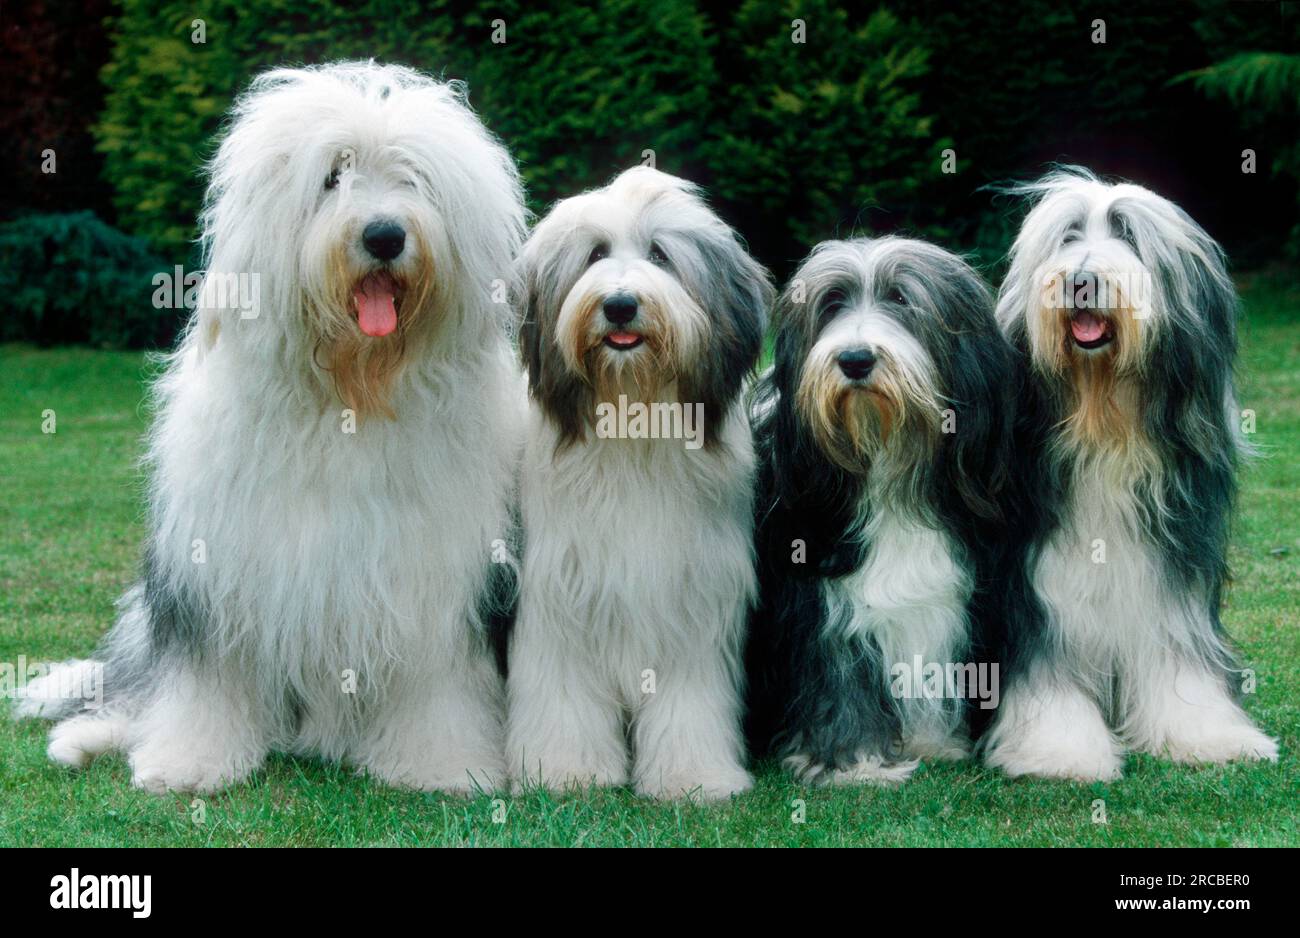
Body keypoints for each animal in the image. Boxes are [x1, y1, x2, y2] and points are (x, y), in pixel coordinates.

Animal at [16, 60, 527, 789]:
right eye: (333, 176)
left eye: (412, 178)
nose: (384, 235)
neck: (351, 393)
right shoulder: (218, 567)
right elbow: (205, 680)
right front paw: (187, 762)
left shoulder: (438, 579)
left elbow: (439, 682)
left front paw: (441, 764)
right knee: (133, 687)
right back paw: (83, 739)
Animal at [506, 166, 769, 795]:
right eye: (596, 254)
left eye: (659, 255)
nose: (621, 305)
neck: (632, 414)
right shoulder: (561, 591)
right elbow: (563, 693)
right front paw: (566, 770)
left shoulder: (693, 597)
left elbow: (689, 700)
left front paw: (693, 777)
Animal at [743, 235, 1013, 779]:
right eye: (831, 305)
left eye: (902, 299)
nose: (855, 358)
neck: (886, 462)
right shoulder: (819, 598)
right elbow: (839, 677)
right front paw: (858, 763)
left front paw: (934, 742)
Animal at [982, 166, 1279, 774]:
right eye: (1069, 236)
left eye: (1129, 236)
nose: (1081, 280)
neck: (1107, 428)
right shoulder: (1035, 584)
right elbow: (1047, 666)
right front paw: (1060, 748)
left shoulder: (1173, 576)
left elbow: (1179, 657)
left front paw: (1207, 735)